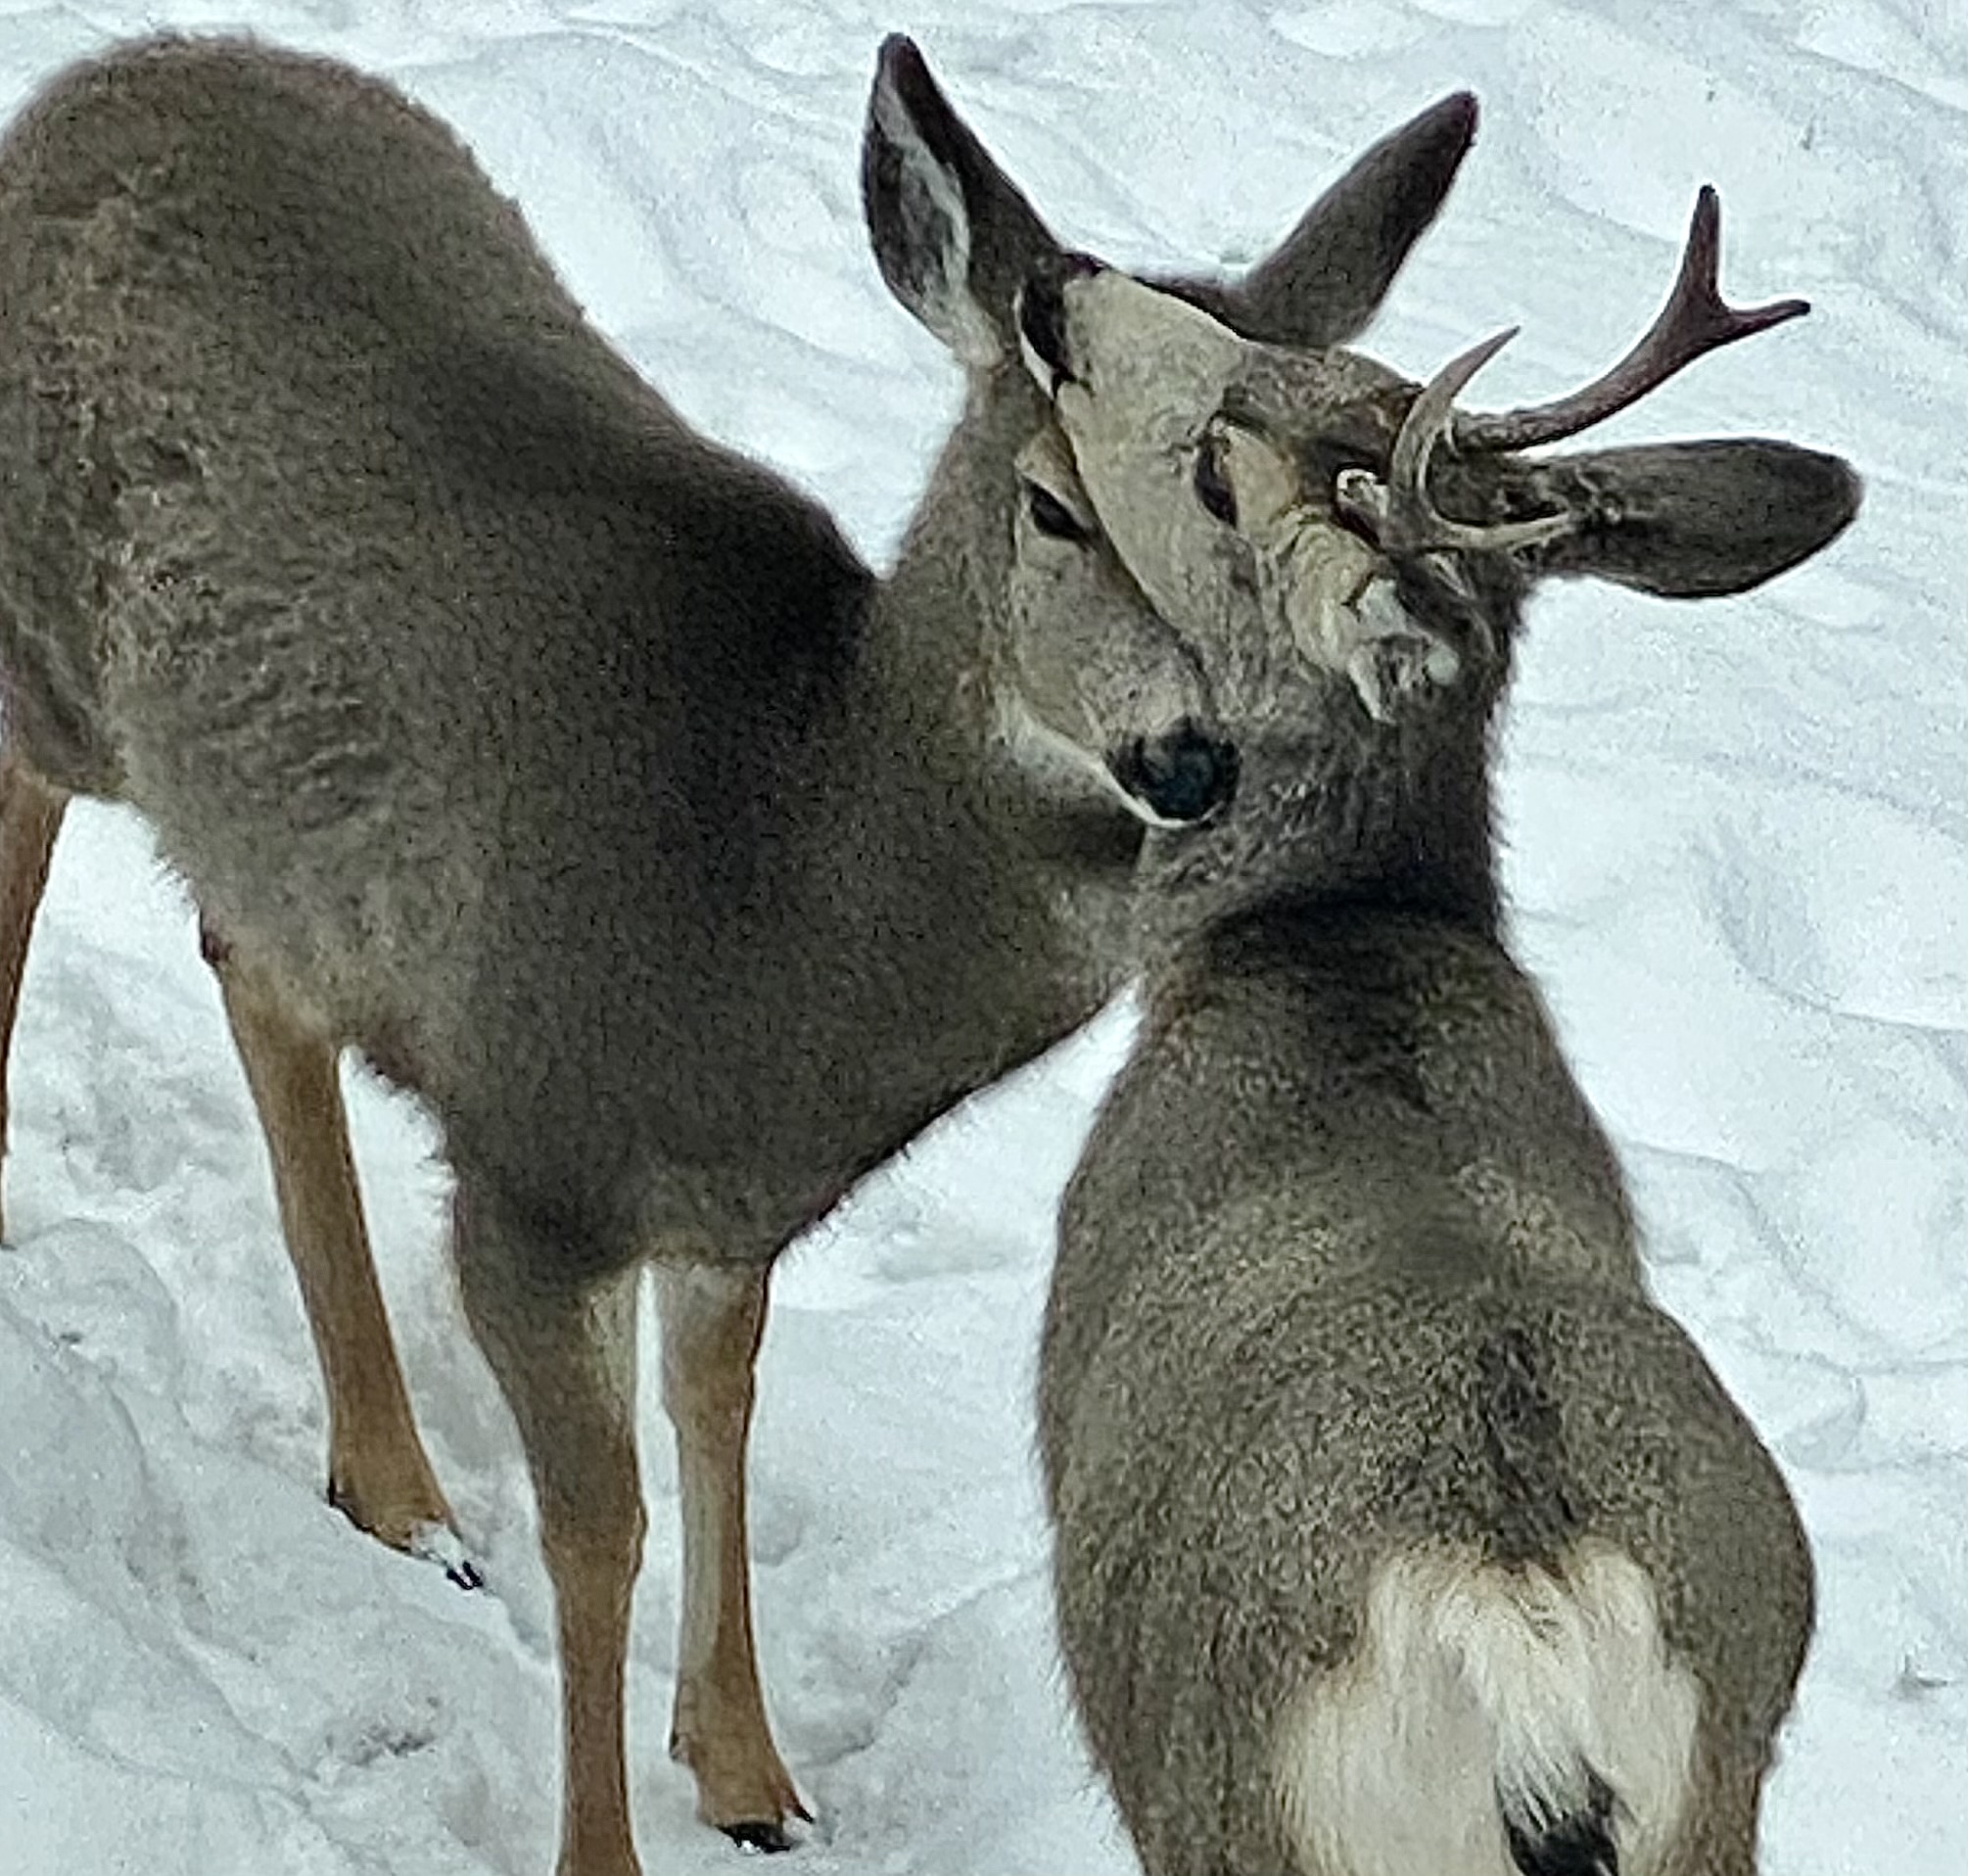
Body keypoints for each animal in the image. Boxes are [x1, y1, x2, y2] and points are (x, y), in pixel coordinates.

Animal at [0, 30, 1537, 1876]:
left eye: (1275, 546)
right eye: (1051, 508)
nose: (1189, 762)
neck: (766, 920)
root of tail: (106, 75)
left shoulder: (729, 1211)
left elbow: (719, 1412)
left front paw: (747, 1773)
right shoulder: (537, 1160)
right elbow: (602, 1530)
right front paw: (605, 1842)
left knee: (248, 950)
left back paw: (394, 1483)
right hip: (41, 642)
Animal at [1024, 122, 1859, 1876]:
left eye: (1216, 470)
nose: (1057, 286)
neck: (1334, 950)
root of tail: (1518, 1631)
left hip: (1237, 1801)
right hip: (1721, 1806)